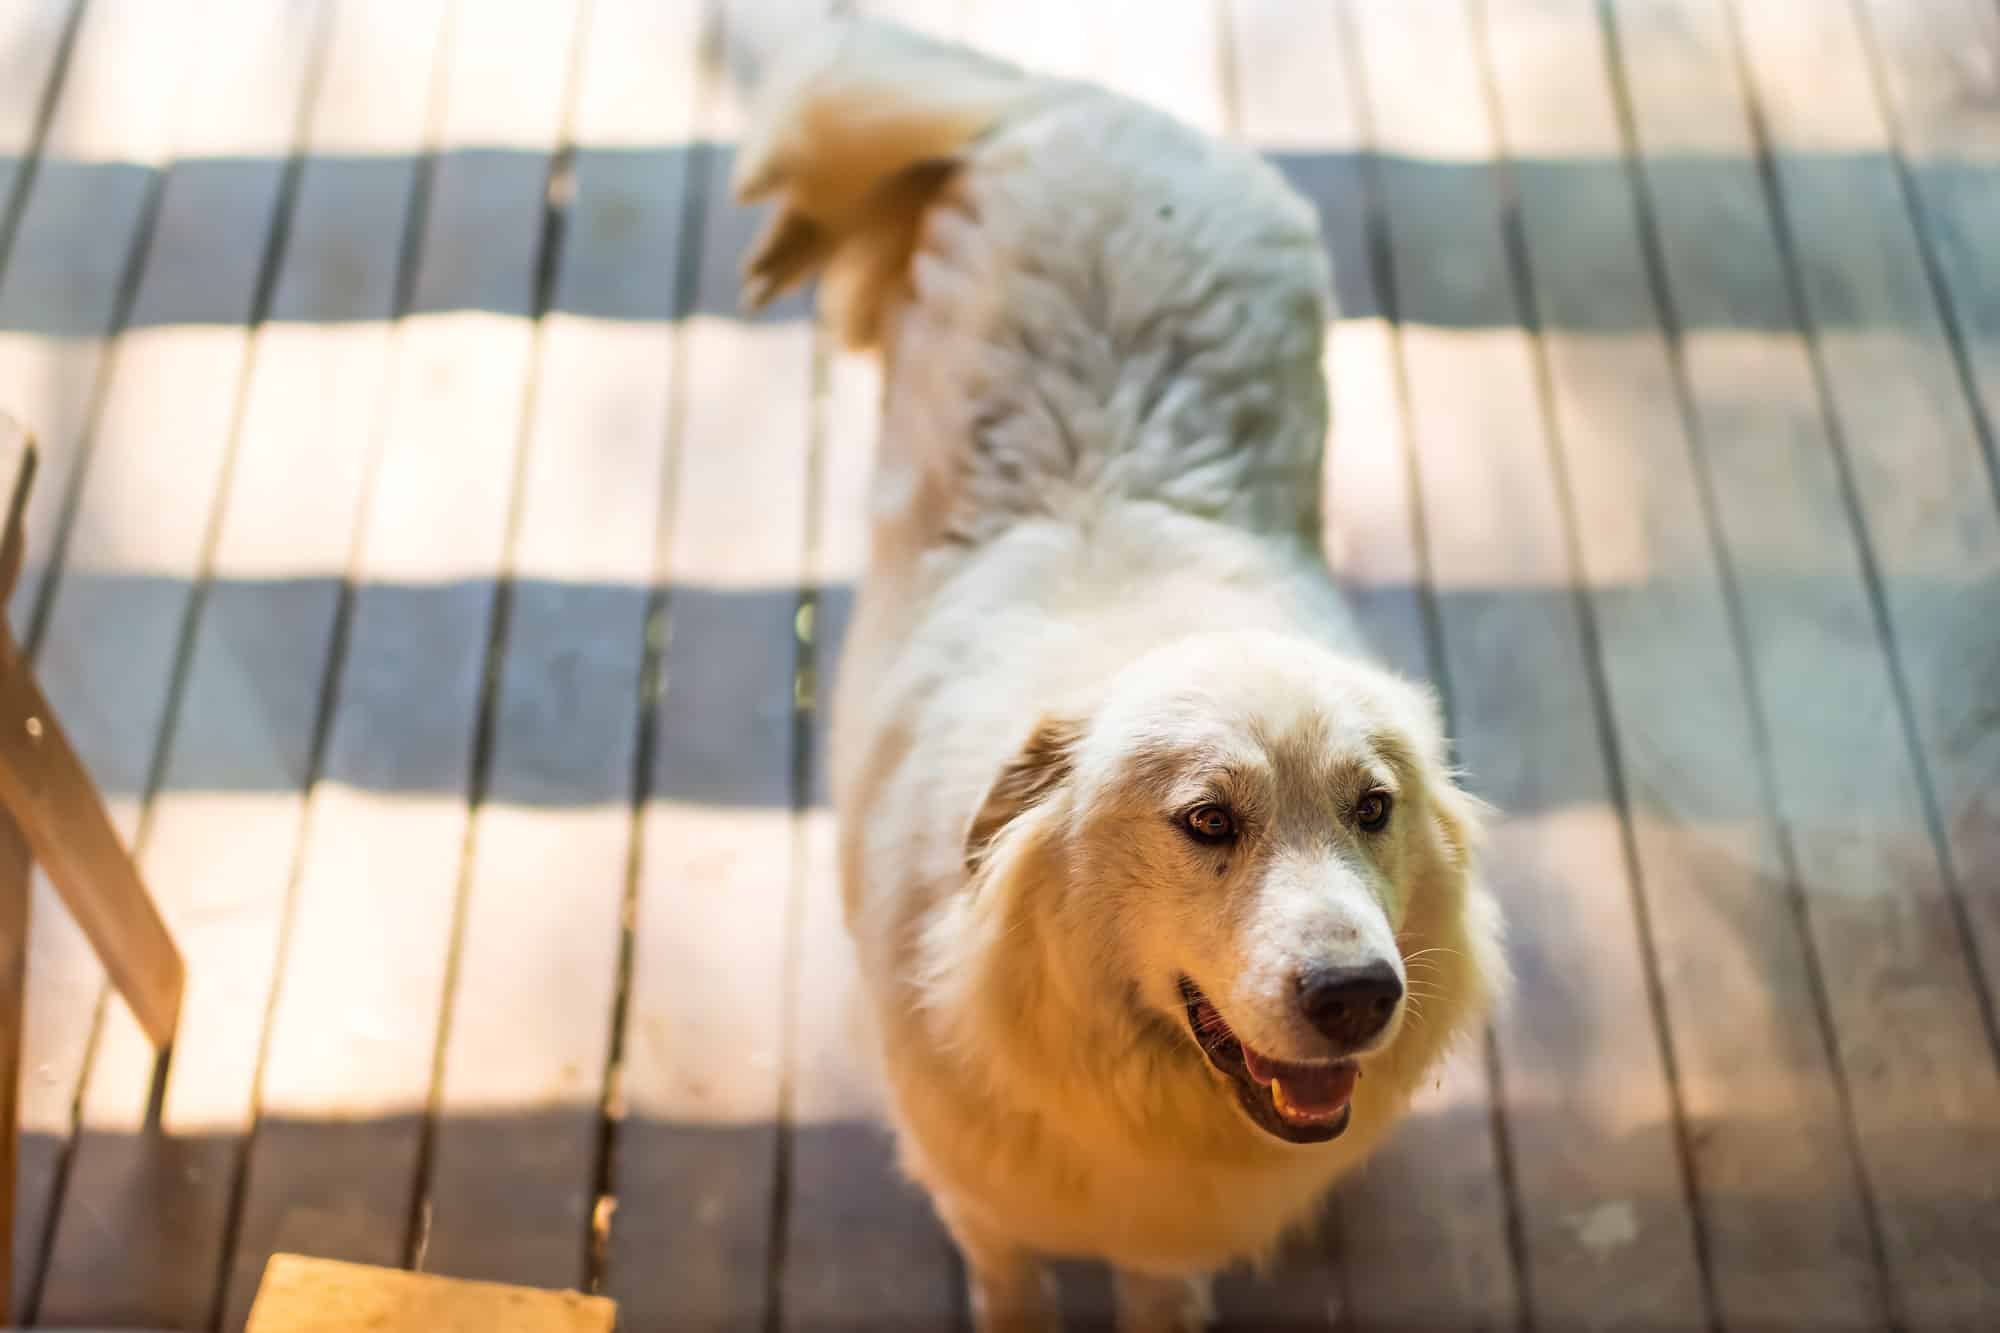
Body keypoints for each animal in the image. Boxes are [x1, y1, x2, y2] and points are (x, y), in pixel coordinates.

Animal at [736, 20, 1504, 1328]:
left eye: (1372, 809)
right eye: (1205, 821)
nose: (1356, 997)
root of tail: (1086, 109)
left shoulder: (1165, 1234)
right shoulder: (986, 1208)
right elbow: (1013, 1293)